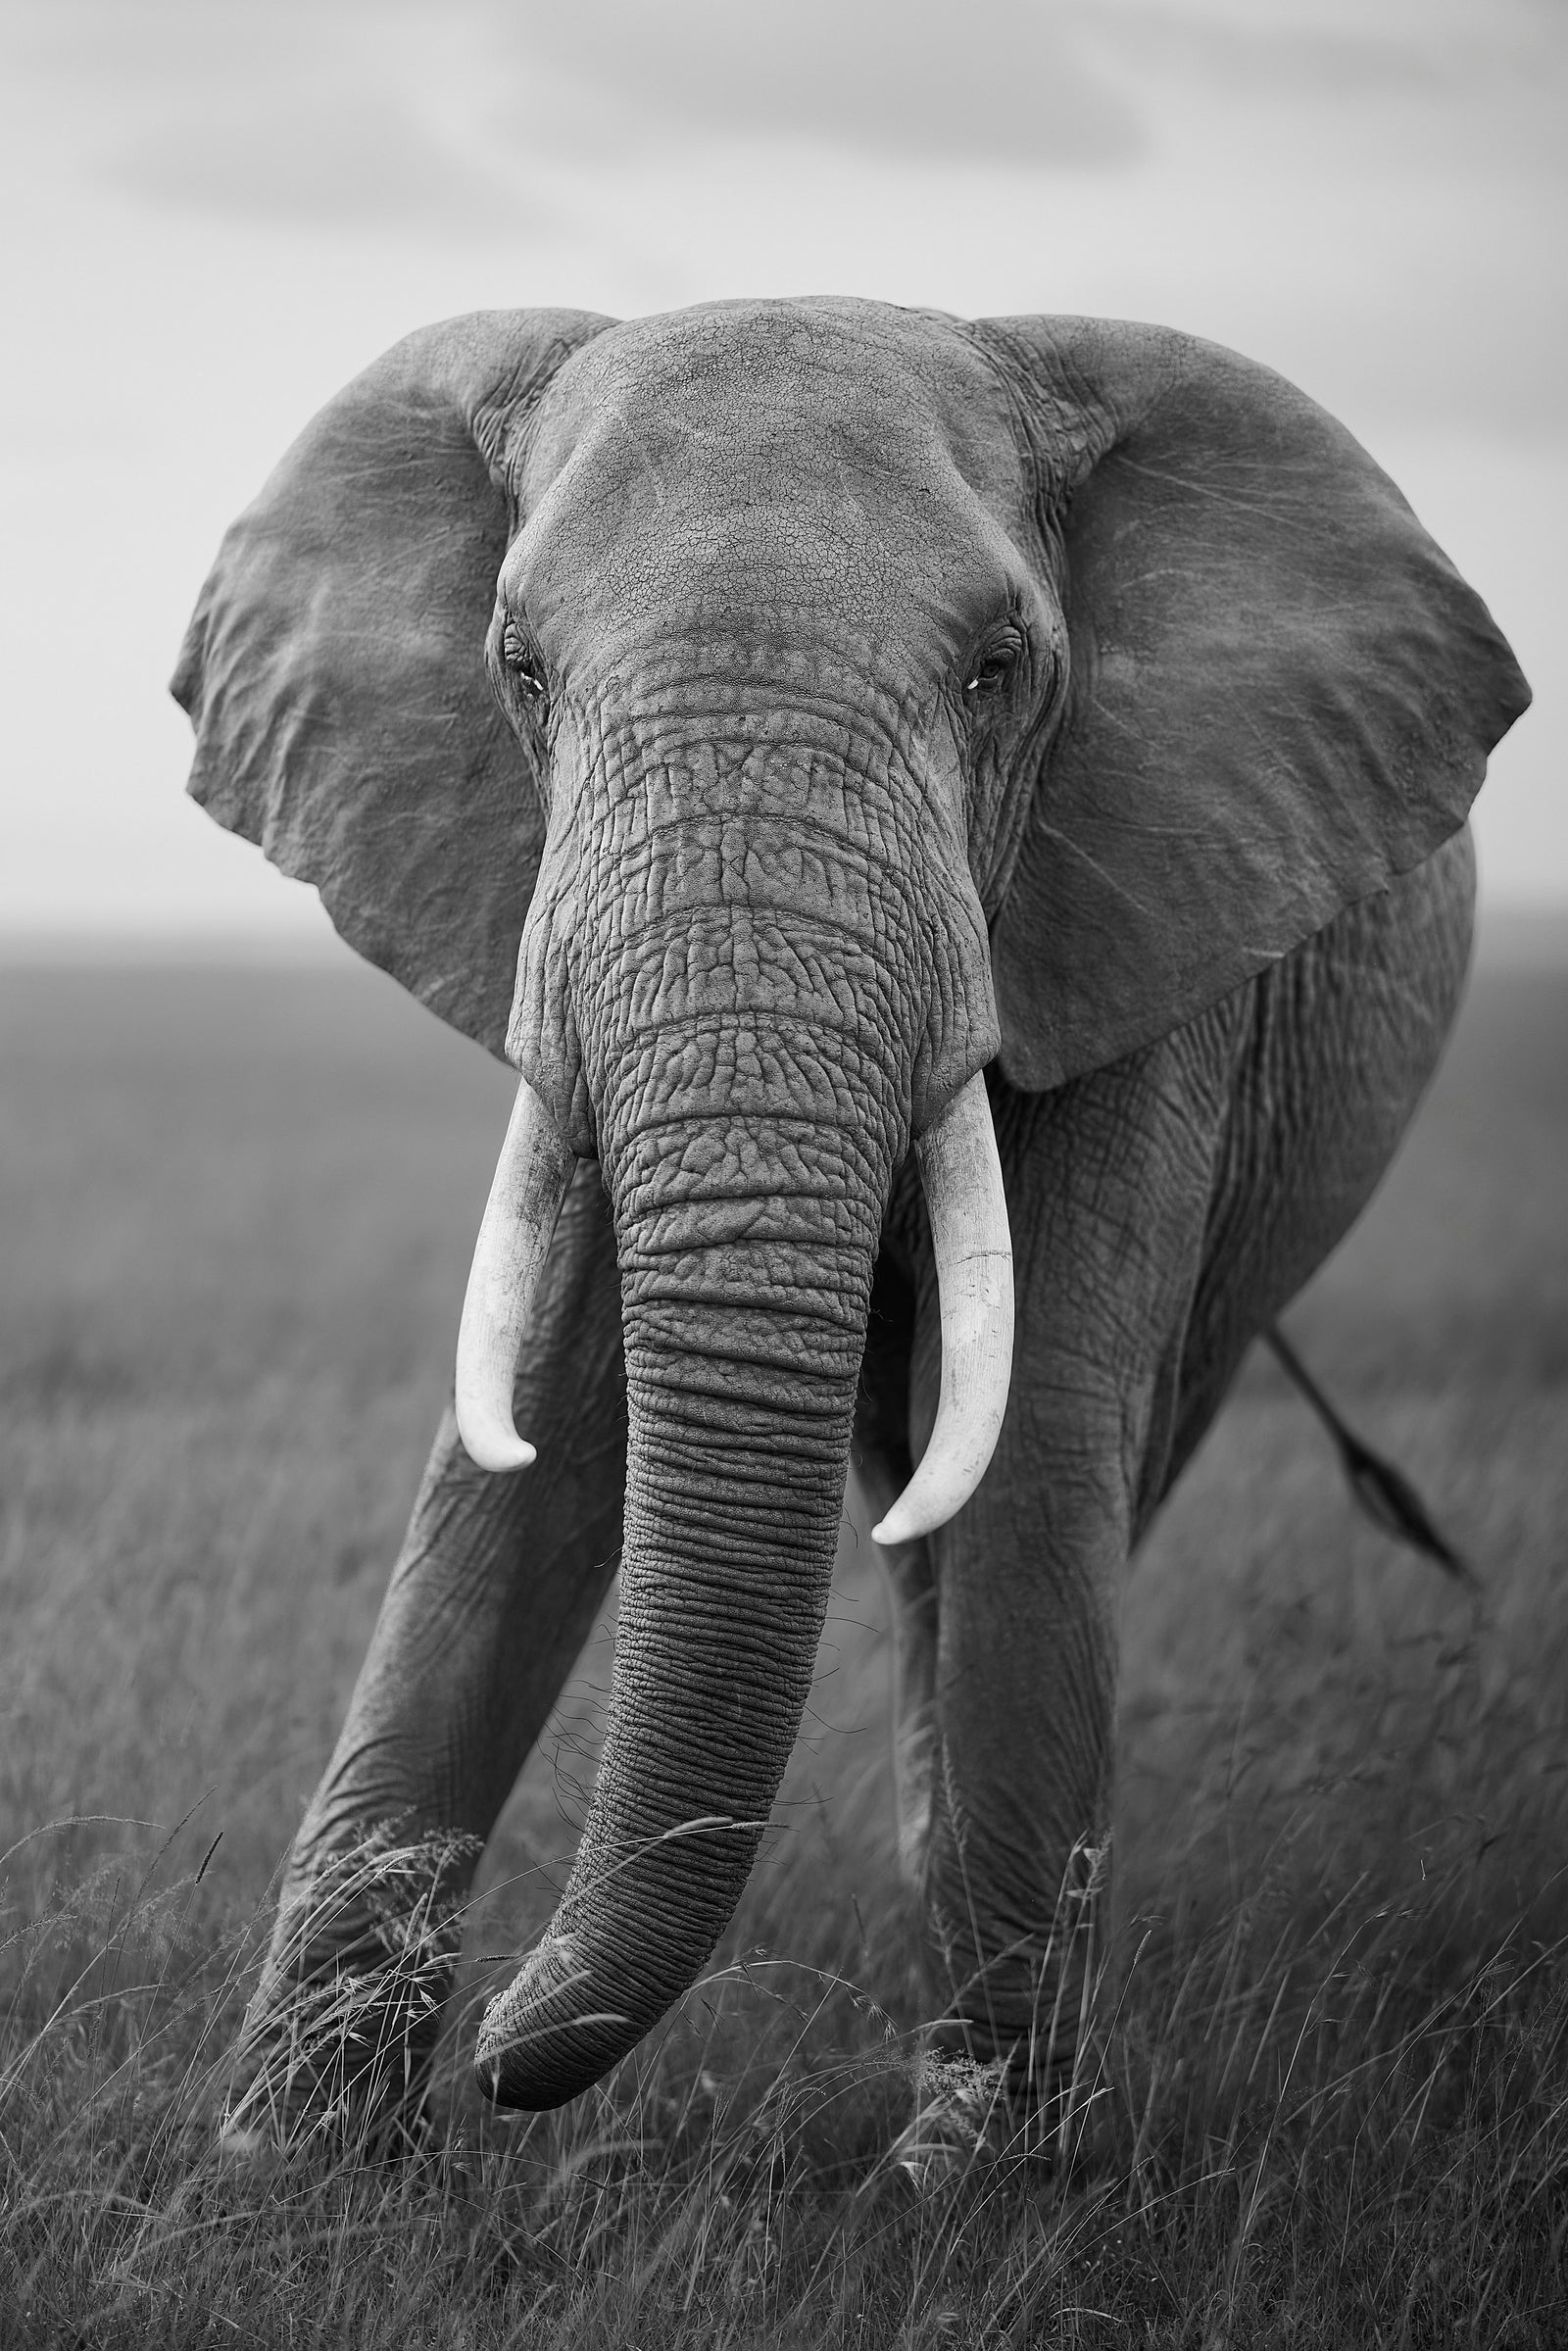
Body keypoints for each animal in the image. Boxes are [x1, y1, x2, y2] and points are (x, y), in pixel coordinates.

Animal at [172, 296, 1528, 2155]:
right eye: (519, 669)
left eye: (998, 672)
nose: (504, 2051)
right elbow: (537, 1454)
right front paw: (282, 2160)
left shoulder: (1139, 905)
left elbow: (1033, 1441)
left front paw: (975, 2174)